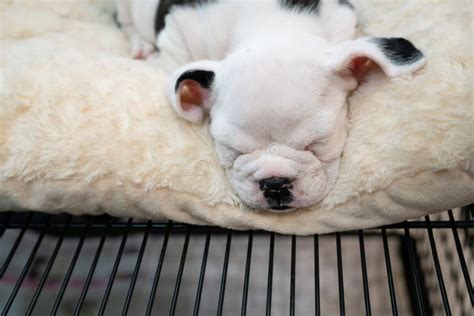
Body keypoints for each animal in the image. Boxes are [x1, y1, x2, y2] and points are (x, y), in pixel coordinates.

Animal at [115, 1, 426, 212]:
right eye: (233, 151)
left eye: (318, 144)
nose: (275, 183)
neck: (272, 27)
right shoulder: (179, 29)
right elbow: (174, 61)